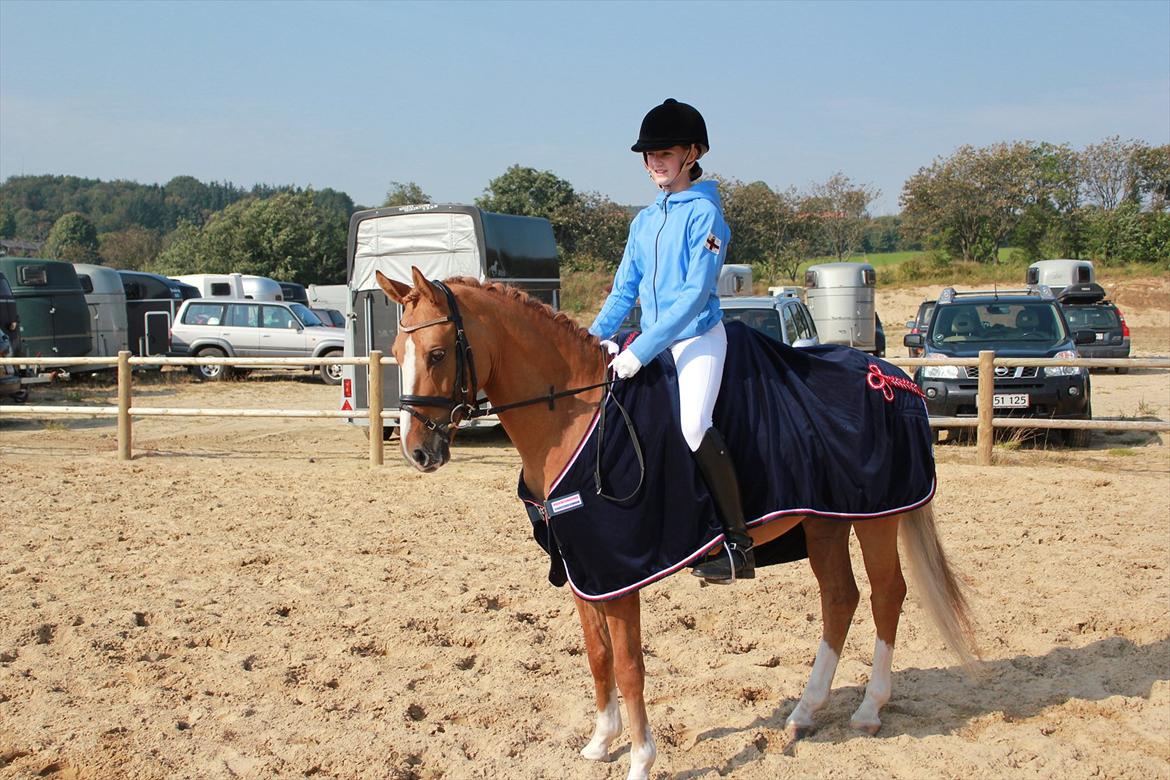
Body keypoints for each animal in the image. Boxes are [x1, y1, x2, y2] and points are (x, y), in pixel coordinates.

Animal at [375, 267, 978, 780]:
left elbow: (629, 665)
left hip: (877, 517)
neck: (574, 417)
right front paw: (601, 742)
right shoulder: (585, 572)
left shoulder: (620, 575)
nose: (417, 451)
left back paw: (870, 709)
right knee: (840, 598)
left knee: (885, 596)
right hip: (827, 520)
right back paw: (805, 712)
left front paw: (641, 758)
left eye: (436, 353)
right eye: (396, 352)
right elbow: (598, 656)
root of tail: (891, 375)